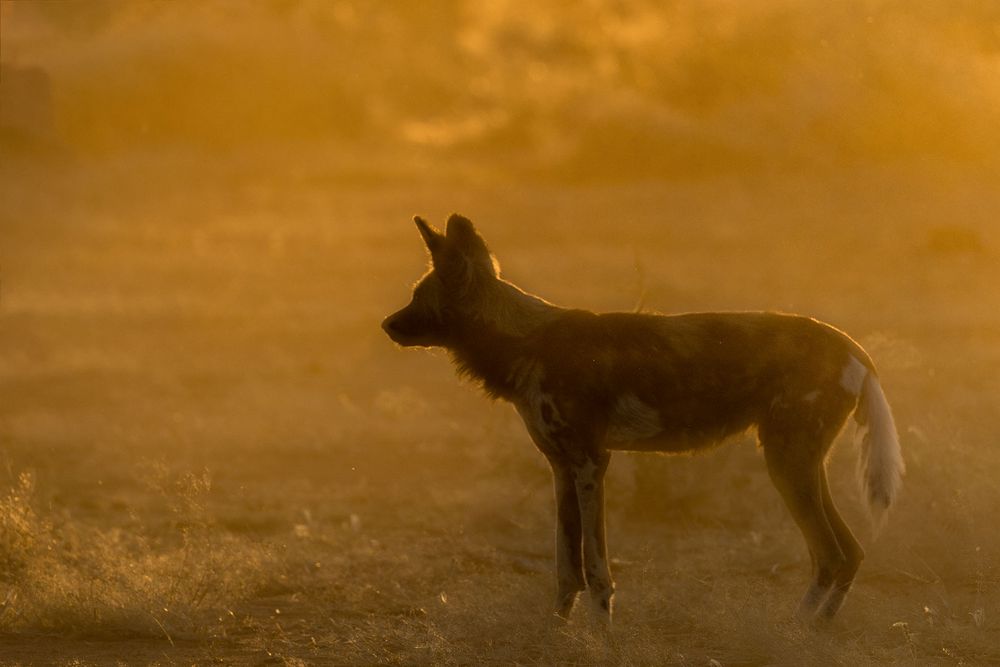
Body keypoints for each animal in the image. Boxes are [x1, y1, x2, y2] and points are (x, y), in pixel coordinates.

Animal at [378, 215, 904, 628]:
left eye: (418, 296)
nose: (386, 324)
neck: (526, 339)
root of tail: (851, 345)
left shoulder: (592, 463)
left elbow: (596, 571)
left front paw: (601, 637)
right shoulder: (562, 469)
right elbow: (566, 568)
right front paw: (556, 632)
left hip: (787, 464)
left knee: (832, 554)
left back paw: (800, 631)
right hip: (798, 465)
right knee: (848, 553)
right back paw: (815, 629)